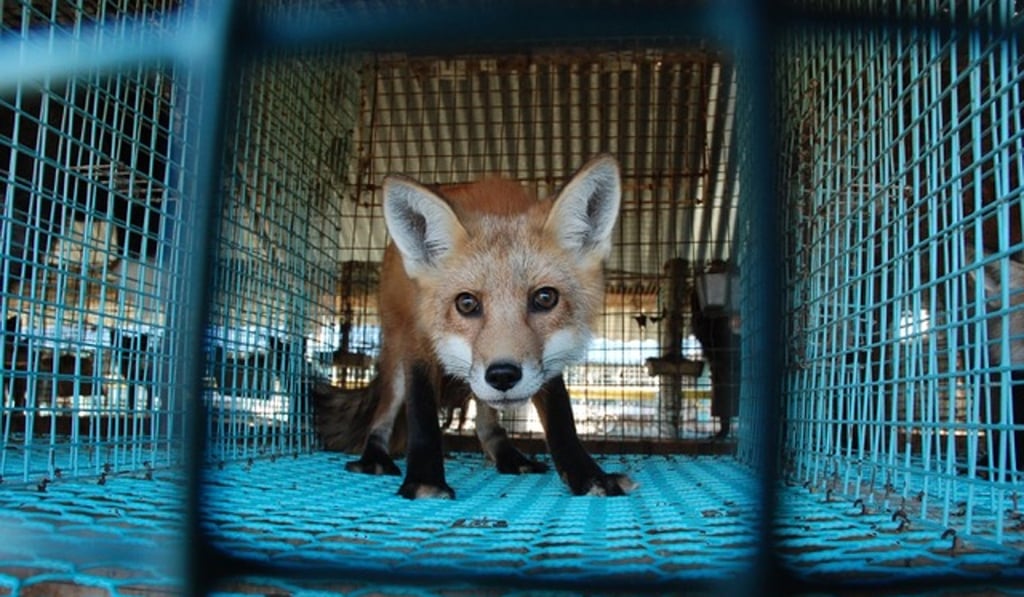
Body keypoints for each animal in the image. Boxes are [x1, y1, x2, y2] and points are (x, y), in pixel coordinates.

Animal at [343, 154, 636, 499]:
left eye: (545, 298)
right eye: (466, 303)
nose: (502, 376)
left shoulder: (546, 359)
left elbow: (561, 416)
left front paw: (588, 475)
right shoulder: (418, 339)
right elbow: (422, 412)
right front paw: (425, 480)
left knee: (485, 418)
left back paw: (507, 455)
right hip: (398, 345)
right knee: (383, 412)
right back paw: (373, 456)